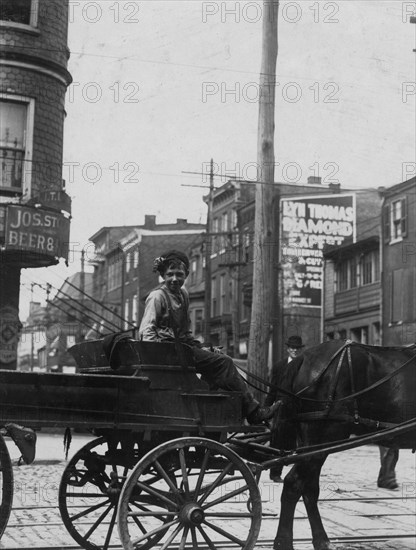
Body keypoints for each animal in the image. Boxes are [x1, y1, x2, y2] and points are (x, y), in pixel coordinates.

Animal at [270, 340, 416, 550]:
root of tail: (304, 357)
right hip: (324, 438)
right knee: (294, 483)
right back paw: (284, 542)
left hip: (312, 443)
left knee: (309, 488)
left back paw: (321, 540)